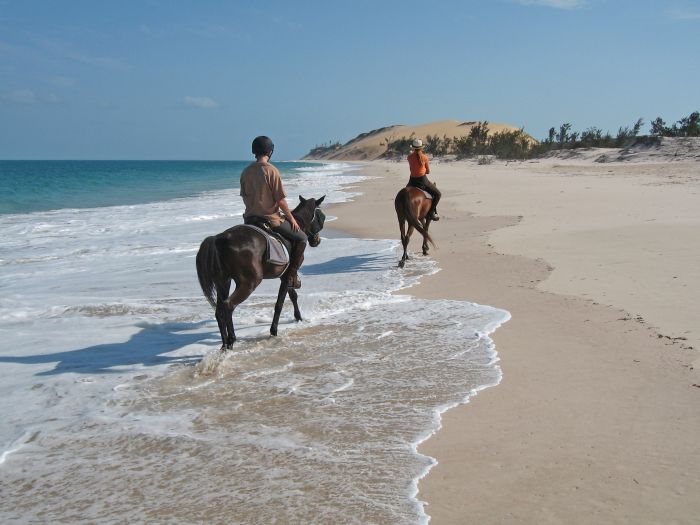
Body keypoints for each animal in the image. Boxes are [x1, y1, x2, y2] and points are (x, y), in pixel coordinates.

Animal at [197, 194, 326, 346]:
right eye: (322, 217)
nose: (317, 240)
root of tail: (220, 238)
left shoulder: (285, 275)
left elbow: (292, 295)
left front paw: (298, 318)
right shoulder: (287, 275)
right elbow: (279, 303)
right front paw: (274, 330)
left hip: (223, 282)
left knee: (219, 310)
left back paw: (224, 344)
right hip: (249, 283)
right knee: (228, 305)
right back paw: (231, 339)